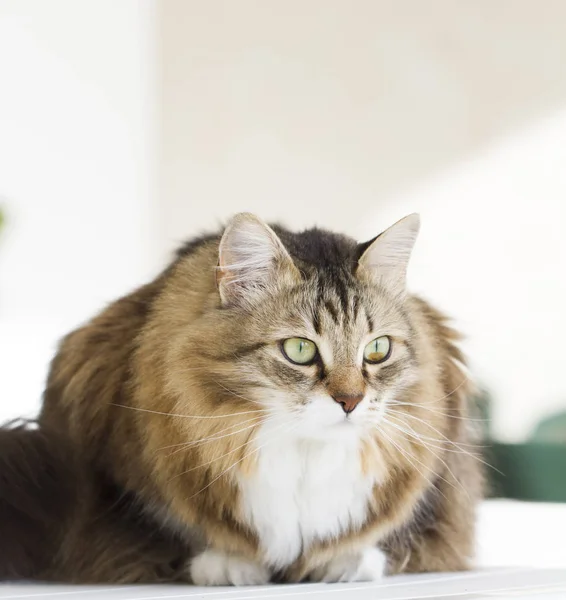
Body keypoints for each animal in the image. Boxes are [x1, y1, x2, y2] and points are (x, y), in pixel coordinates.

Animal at [0, 213, 484, 584]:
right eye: (300, 350)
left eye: (378, 350)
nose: (350, 401)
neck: (305, 453)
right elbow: (169, 535)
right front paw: (229, 564)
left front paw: (346, 561)